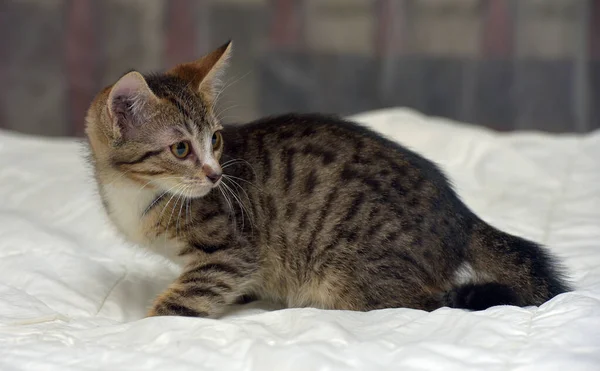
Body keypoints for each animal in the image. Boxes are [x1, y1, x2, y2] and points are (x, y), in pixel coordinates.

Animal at [83, 41, 568, 320]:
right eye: (182, 149)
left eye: (215, 140)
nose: (216, 174)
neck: (136, 193)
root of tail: (461, 215)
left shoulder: (233, 251)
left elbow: (184, 300)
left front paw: (147, 326)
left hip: (356, 276)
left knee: (427, 304)